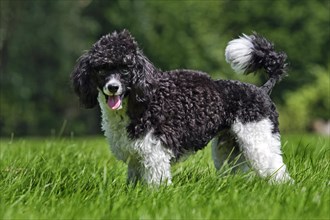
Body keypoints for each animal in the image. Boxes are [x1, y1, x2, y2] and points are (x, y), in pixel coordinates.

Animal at [71, 30, 292, 186]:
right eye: (101, 68)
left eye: (126, 69)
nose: (113, 87)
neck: (139, 102)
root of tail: (262, 90)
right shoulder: (136, 155)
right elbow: (134, 181)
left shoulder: (155, 152)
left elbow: (156, 183)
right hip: (229, 148)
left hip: (258, 139)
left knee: (276, 168)